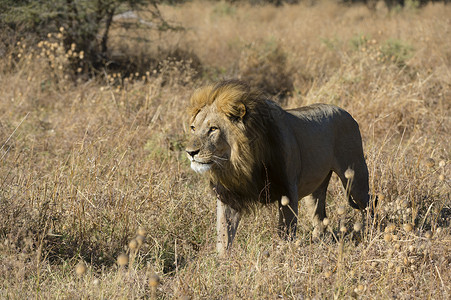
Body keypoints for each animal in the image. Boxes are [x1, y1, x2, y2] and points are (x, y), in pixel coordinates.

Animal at [185, 79, 372, 255]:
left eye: (213, 129)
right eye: (193, 128)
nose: (190, 152)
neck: (239, 164)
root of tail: (345, 112)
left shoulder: (287, 192)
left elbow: (285, 232)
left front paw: (283, 255)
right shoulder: (229, 196)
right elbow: (224, 234)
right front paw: (222, 261)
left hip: (355, 178)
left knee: (369, 205)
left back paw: (369, 234)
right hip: (315, 189)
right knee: (320, 216)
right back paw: (318, 243)